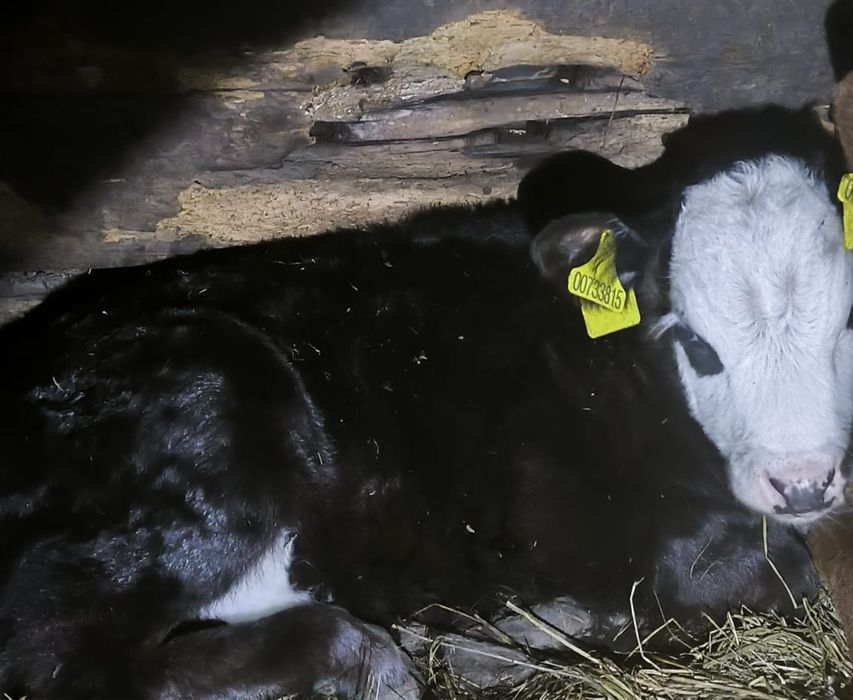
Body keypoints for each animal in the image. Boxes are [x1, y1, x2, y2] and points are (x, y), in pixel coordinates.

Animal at [0, 105, 847, 698]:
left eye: (845, 324)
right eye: (697, 345)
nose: (803, 482)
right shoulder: (567, 512)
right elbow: (765, 570)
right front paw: (564, 622)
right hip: (211, 403)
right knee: (58, 663)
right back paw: (371, 658)